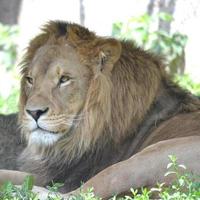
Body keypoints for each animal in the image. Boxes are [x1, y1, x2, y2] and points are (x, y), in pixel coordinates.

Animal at [0, 20, 200, 198]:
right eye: (30, 80)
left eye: (64, 79)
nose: (33, 113)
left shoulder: (63, 177)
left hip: (143, 159)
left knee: (74, 195)